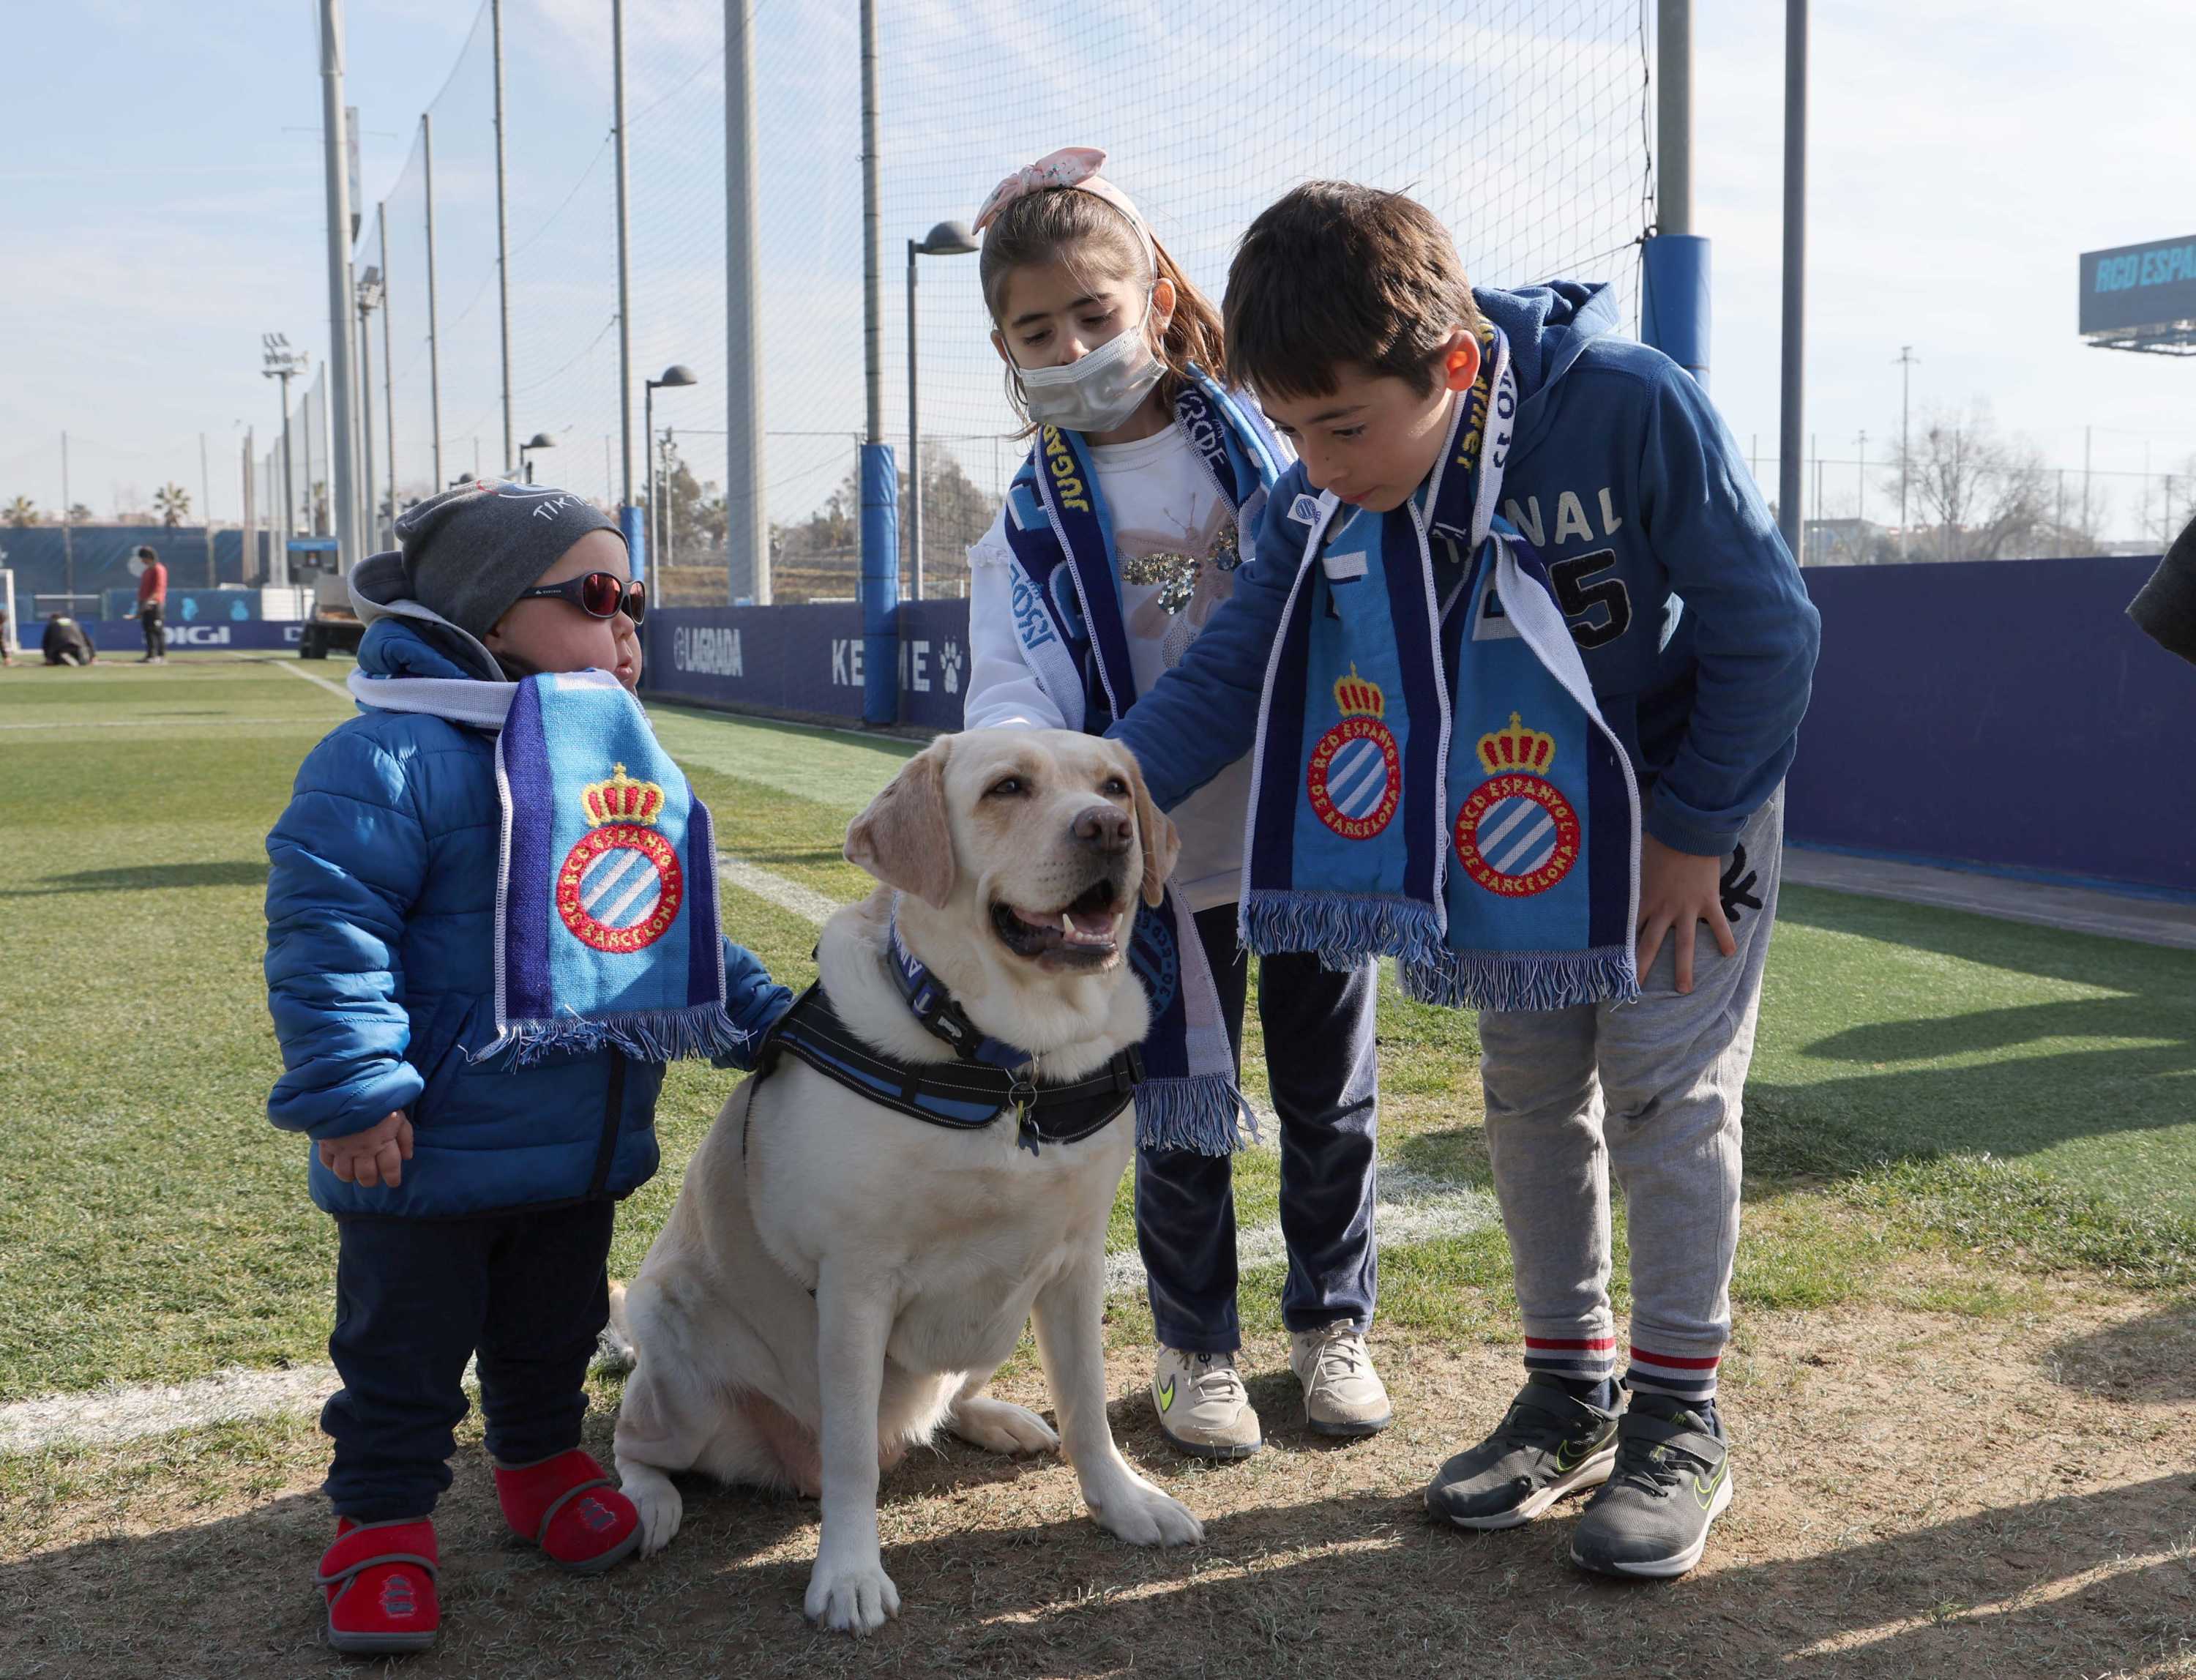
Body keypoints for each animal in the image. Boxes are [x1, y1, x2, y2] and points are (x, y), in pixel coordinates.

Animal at [610, 728, 1203, 1635]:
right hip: (672, 1342)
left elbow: (1089, 1407)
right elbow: (853, 1455)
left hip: (999, 1322)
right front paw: (849, 1574)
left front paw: (1125, 1503)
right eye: (1007, 788)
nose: (1108, 829)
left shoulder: (1074, 1267)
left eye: (1112, 785)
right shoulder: (856, 1284)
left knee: (956, 1400)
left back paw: (996, 1419)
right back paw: (644, 1503)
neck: (1010, 1069)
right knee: (633, 1440)